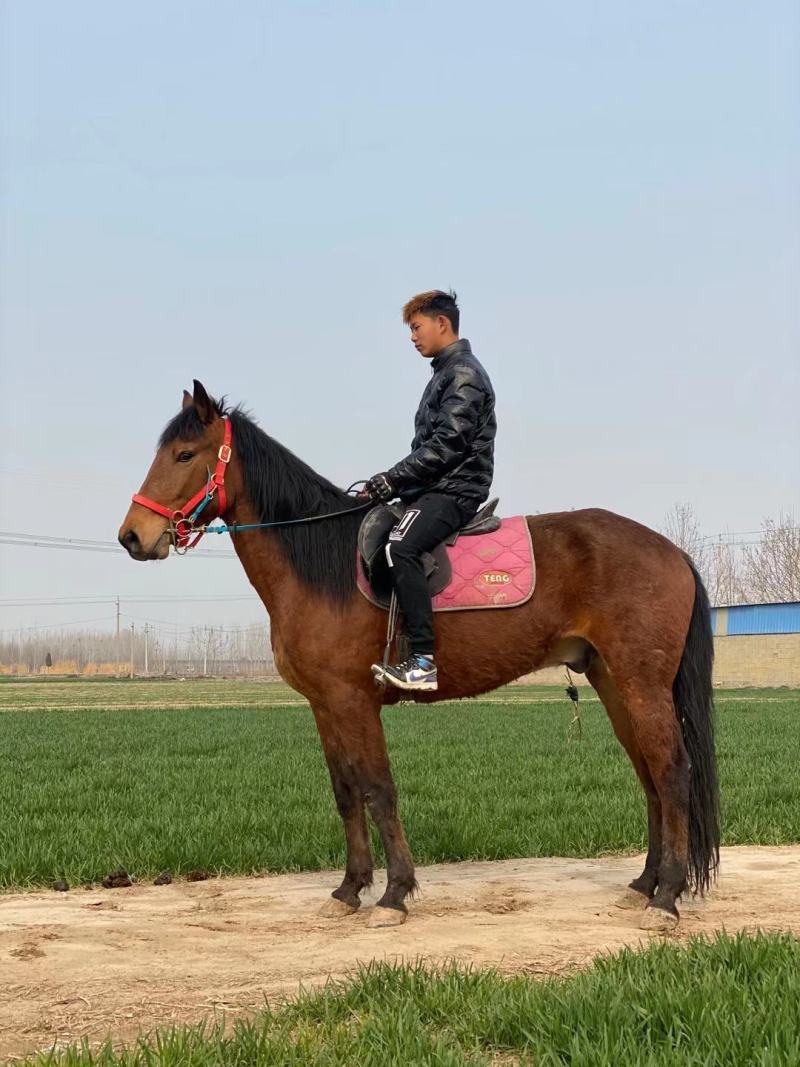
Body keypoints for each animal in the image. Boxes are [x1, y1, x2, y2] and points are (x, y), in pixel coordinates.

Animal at [118, 380, 719, 932]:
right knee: (648, 774)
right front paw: (348, 889)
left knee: (671, 773)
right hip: (614, 682)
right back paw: (643, 885)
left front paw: (394, 893)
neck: (323, 567)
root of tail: (671, 551)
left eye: (185, 454)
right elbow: (346, 792)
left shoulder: (354, 701)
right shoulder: (324, 705)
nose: (132, 536)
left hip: (642, 684)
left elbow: (379, 790)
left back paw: (666, 897)